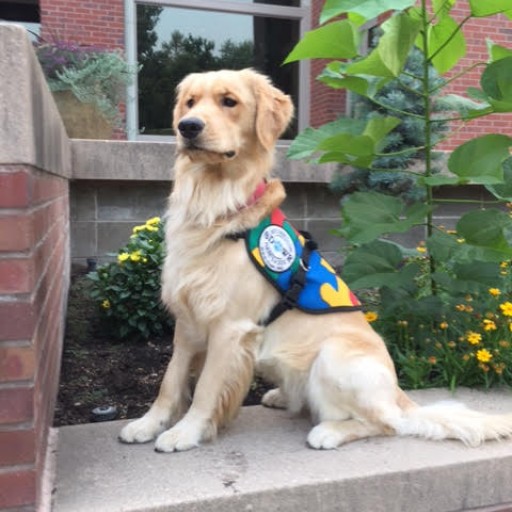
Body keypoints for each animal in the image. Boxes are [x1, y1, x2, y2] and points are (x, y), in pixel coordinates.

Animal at [118, 68, 512, 452]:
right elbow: (170, 381)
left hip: (333, 356)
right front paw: (148, 425)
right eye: (189, 102)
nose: (188, 127)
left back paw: (330, 432)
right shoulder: (187, 319)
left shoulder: (230, 327)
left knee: (385, 422)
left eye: (229, 101)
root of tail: (401, 397)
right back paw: (281, 397)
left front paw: (186, 432)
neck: (215, 205)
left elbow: (205, 389)